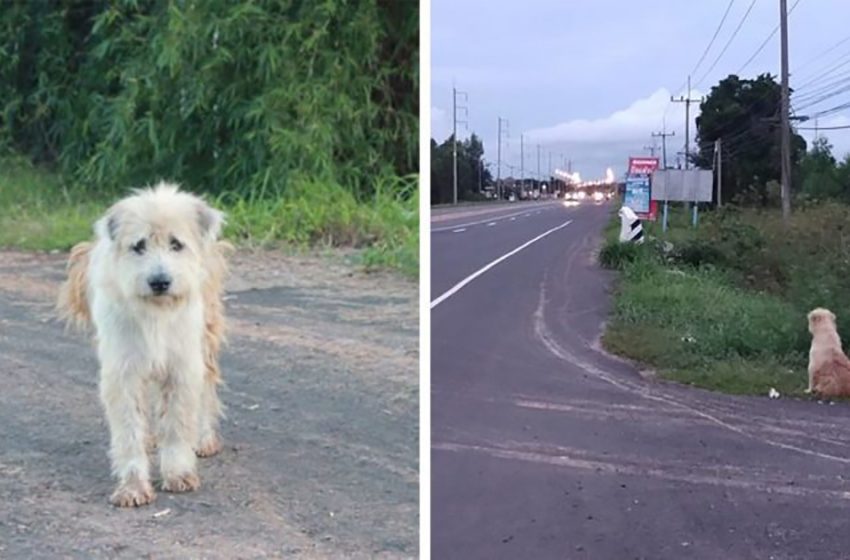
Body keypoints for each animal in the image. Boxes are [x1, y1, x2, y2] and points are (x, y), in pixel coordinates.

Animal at [56, 184, 230, 508]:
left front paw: (178, 472)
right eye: (138, 246)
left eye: (176, 244)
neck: (156, 313)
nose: (159, 281)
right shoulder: (123, 370)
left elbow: (177, 424)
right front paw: (133, 485)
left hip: (206, 339)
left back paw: (203, 438)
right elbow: (128, 431)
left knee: (206, 391)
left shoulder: (181, 366)